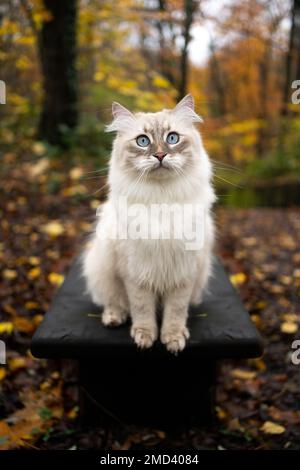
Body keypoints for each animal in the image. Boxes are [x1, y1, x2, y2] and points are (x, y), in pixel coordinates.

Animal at [82, 94, 216, 352]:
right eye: (143, 141)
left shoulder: (183, 273)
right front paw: (145, 337)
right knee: (114, 302)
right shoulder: (135, 273)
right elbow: (141, 309)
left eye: (172, 138)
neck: (161, 199)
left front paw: (173, 339)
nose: (161, 155)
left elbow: (176, 311)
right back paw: (113, 317)